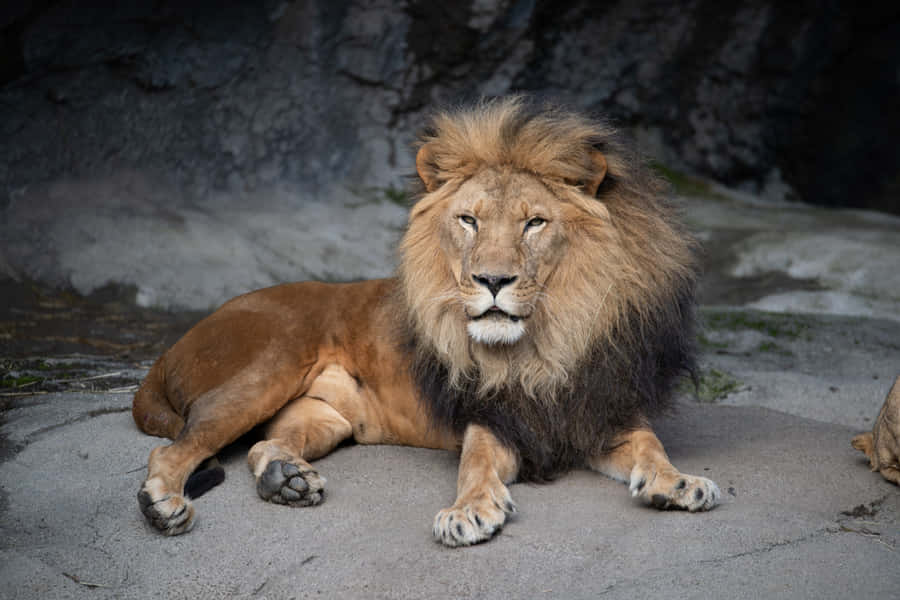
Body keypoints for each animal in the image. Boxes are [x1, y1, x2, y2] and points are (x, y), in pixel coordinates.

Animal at [133, 96, 720, 546]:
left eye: (534, 223)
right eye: (469, 220)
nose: (492, 280)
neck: (547, 341)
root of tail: (167, 353)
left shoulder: (602, 409)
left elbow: (651, 447)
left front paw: (679, 483)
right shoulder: (490, 418)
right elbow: (475, 467)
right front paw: (468, 512)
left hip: (324, 416)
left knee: (264, 445)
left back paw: (286, 480)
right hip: (267, 367)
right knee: (172, 449)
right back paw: (165, 506)